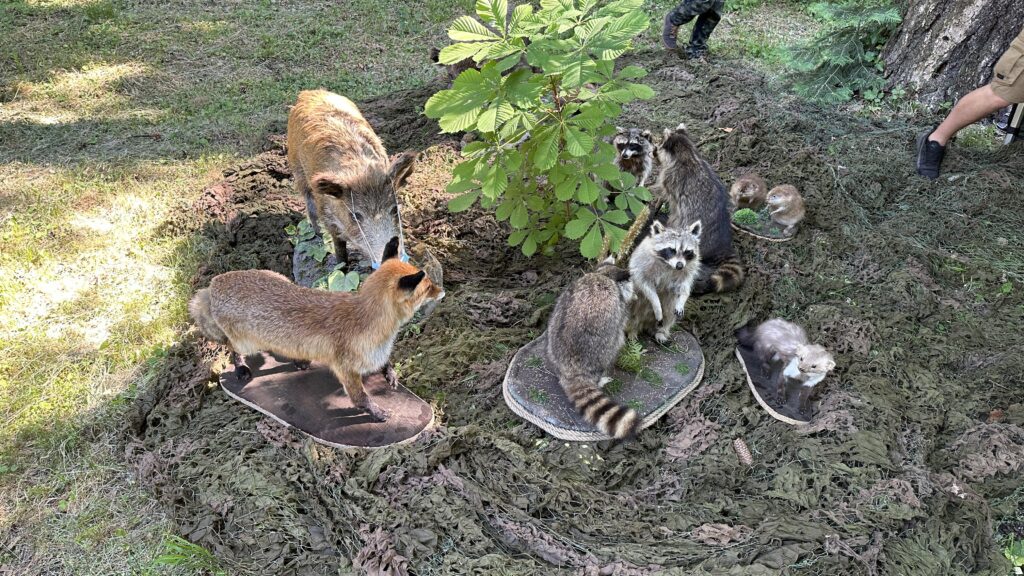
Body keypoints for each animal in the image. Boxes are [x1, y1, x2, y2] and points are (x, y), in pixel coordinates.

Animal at [286, 89, 413, 268]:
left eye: (395, 209)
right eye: (355, 216)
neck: (361, 173)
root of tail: (308, 92)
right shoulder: (328, 217)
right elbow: (339, 247)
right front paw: (342, 267)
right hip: (296, 166)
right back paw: (318, 235)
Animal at [544, 258, 638, 436]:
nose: (636, 296)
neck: (604, 274)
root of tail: (571, 369)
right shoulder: (620, 308)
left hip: (552, 338)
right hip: (604, 348)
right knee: (615, 342)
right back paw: (601, 379)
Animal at [655, 122, 745, 293]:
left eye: (658, 144)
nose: (652, 151)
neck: (687, 151)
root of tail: (722, 245)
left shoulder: (671, 179)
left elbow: (671, 204)